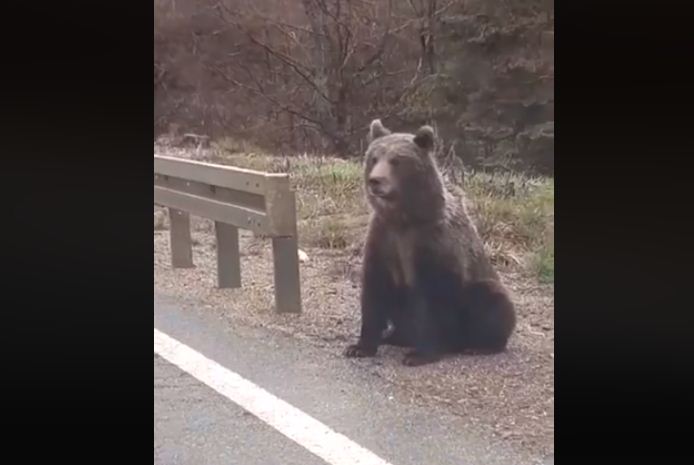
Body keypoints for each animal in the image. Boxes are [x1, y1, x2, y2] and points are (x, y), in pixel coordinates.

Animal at [346, 119, 520, 366]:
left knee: (491, 301)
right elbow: (374, 290)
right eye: (374, 158)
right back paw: (396, 336)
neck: (404, 219)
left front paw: (420, 354)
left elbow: (435, 300)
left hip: (479, 291)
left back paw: (480, 346)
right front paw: (360, 347)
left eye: (397, 161)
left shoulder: (434, 244)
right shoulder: (383, 239)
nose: (375, 181)